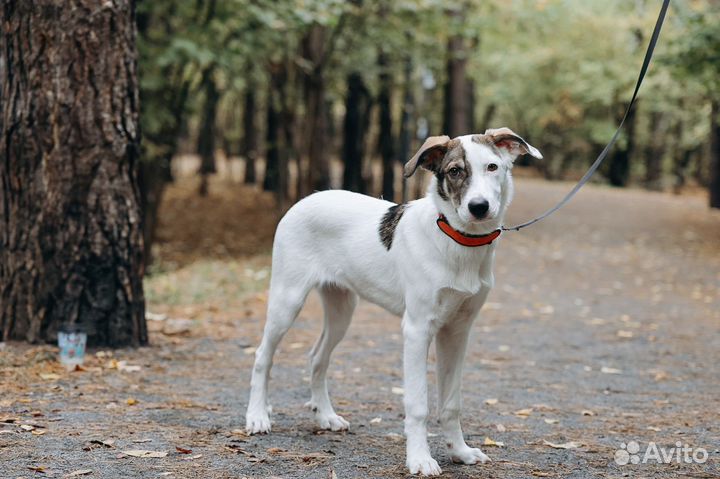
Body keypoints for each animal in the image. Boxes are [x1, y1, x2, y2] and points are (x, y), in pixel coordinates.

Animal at [245, 127, 544, 476]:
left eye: (493, 167)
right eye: (455, 171)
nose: (479, 207)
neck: (458, 241)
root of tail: (306, 198)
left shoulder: (457, 331)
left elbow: (451, 403)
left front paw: (460, 452)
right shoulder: (417, 329)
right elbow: (417, 404)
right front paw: (419, 458)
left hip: (341, 308)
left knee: (317, 357)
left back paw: (326, 416)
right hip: (287, 299)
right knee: (263, 355)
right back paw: (257, 416)